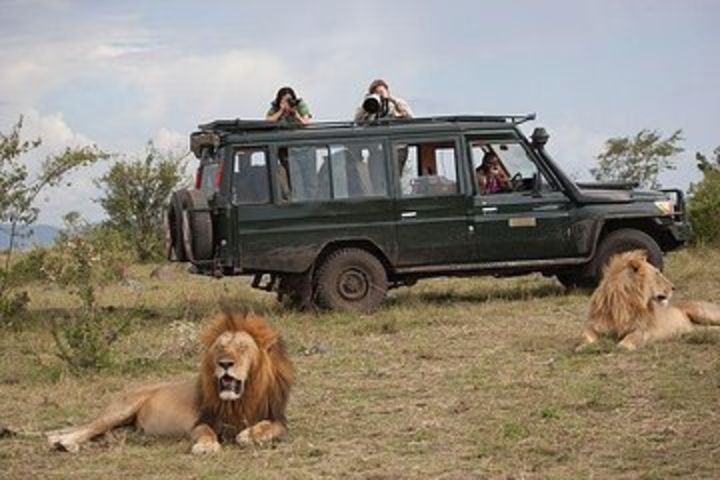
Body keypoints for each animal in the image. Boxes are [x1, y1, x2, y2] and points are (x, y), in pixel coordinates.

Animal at [46, 312, 292, 454]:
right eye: (220, 347)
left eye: (242, 347)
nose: (224, 363)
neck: (240, 400)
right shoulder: (202, 421)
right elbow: (206, 433)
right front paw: (206, 446)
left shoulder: (277, 418)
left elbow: (268, 427)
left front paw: (248, 435)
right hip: (119, 411)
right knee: (89, 427)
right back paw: (64, 442)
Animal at [580, 249, 720, 350]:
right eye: (657, 273)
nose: (674, 287)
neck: (625, 301)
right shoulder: (595, 325)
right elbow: (585, 336)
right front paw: (584, 346)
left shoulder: (644, 329)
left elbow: (628, 341)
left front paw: (621, 345)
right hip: (695, 328)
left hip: (701, 311)